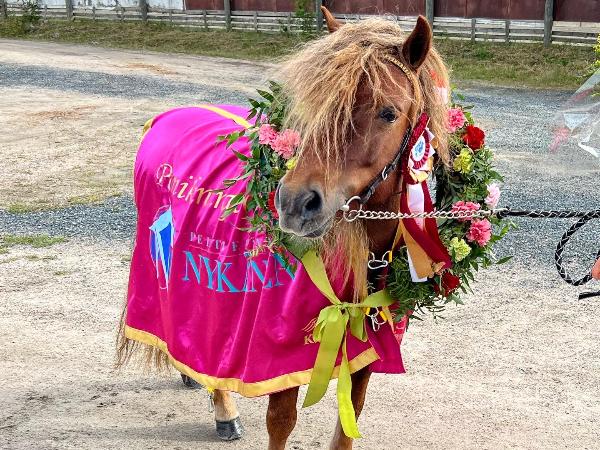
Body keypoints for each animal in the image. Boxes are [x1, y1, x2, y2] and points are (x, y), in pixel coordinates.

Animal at [117, 8, 451, 450]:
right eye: (313, 106)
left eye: (389, 112)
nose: (294, 203)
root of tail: (167, 117)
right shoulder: (277, 357)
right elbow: (281, 421)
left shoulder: (366, 345)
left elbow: (349, 418)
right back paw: (223, 409)